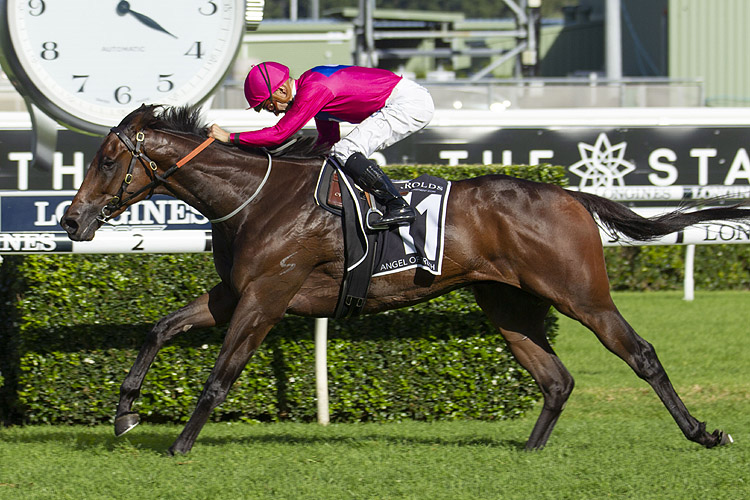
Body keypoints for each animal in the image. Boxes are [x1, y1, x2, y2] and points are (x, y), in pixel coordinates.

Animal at [60, 103, 748, 456]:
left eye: (109, 160)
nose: (71, 219)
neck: (256, 198)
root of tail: (571, 195)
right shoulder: (235, 294)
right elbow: (159, 328)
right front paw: (124, 414)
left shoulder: (266, 297)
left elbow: (218, 377)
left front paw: (179, 446)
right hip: (506, 303)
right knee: (556, 378)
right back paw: (528, 452)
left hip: (581, 294)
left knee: (641, 353)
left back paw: (703, 433)